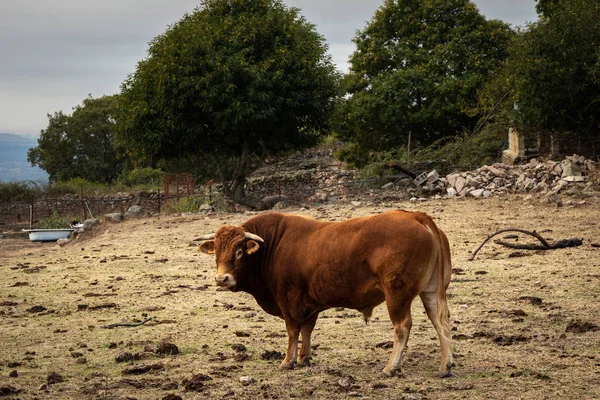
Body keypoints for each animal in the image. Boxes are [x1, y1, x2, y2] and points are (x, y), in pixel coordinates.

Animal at [197, 211, 454, 376]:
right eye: (216, 251)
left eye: (240, 251)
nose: (222, 279)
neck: (274, 245)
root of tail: (415, 216)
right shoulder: (310, 303)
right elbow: (307, 329)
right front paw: (304, 358)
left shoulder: (288, 299)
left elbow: (293, 330)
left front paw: (288, 361)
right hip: (431, 292)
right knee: (440, 322)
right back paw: (445, 365)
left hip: (397, 295)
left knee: (402, 327)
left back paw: (391, 367)